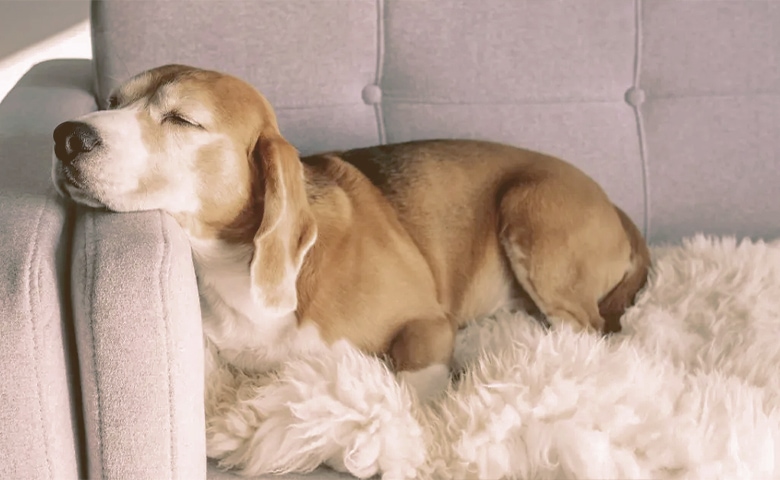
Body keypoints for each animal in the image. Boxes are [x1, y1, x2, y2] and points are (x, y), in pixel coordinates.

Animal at [51, 63, 648, 402]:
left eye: (181, 120)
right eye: (112, 103)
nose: (65, 136)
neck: (231, 264)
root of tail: (615, 206)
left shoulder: (427, 324)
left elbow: (413, 385)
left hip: (529, 210)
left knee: (587, 329)